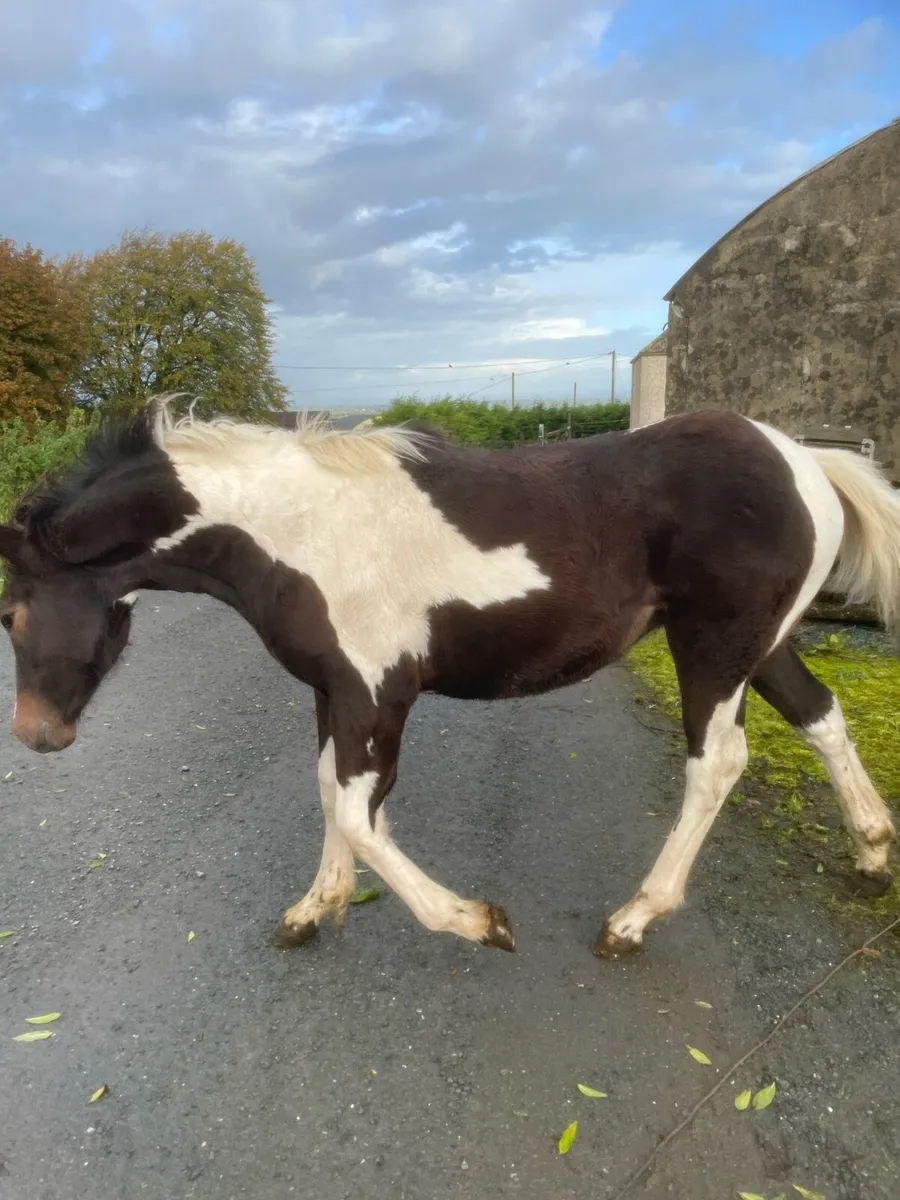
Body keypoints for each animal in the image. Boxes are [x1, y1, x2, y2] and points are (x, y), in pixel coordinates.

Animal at [2, 397, 899, 961]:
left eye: (9, 615)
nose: (36, 734)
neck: (299, 532)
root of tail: (804, 459)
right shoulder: (333, 692)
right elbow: (329, 790)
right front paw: (315, 908)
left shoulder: (376, 695)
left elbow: (359, 814)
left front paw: (478, 922)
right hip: (760, 644)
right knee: (820, 715)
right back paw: (872, 848)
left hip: (714, 648)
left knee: (717, 765)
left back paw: (634, 920)